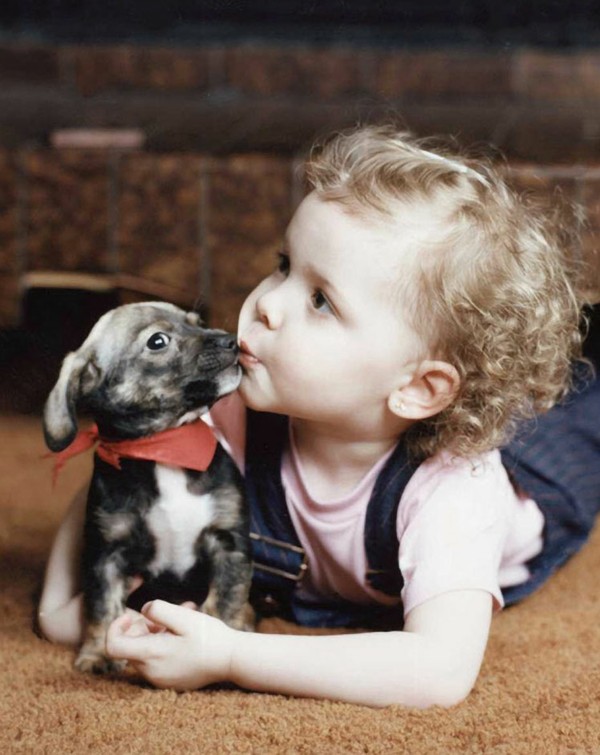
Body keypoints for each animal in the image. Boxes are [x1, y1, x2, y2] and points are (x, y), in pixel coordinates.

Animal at [44, 304, 253, 676]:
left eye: (198, 322)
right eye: (157, 341)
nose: (233, 340)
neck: (164, 447)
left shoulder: (228, 541)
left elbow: (226, 600)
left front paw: (225, 634)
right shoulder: (106, 554)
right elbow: (102, 607)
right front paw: (99, 653)